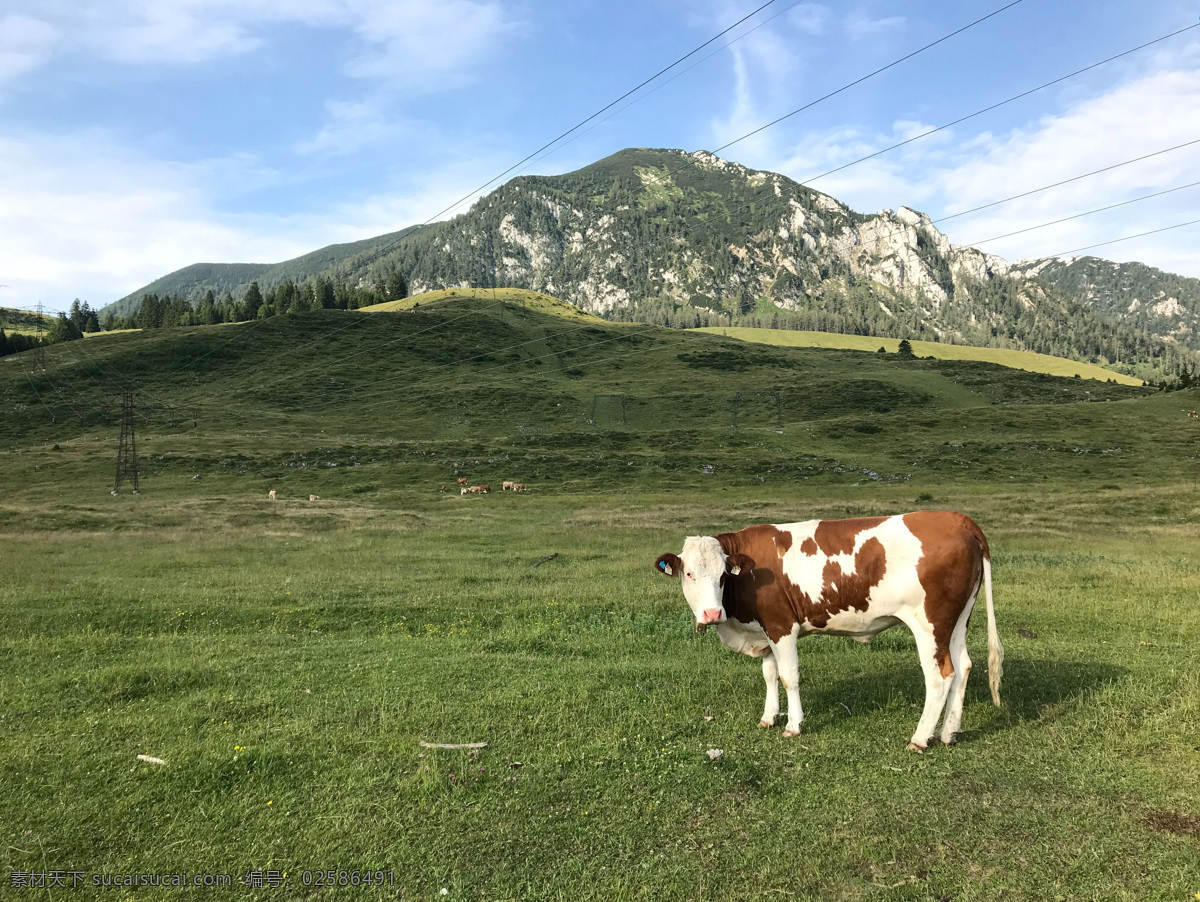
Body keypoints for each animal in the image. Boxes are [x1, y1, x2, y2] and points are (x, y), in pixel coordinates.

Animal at [657, 510, 1003, 748]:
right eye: (689, 574)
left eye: (722, 576)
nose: (712, 613)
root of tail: (957, 519)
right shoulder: (764, 630)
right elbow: (769, 674)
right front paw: (768, 717)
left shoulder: (782, 625)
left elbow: (788, 676)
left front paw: (793, 725)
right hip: (956, 620)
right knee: (963, 667)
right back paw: (948, 732)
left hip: (929, 623)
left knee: (940, 676)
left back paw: (921, 738)